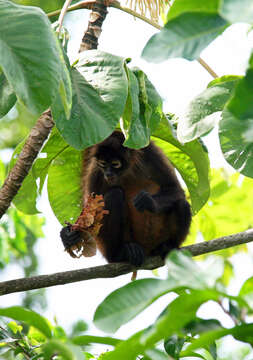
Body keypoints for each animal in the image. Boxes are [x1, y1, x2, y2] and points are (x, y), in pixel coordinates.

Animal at [60, 131, 191, 266]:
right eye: (103, 164)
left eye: (115, 164)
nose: (108, 174)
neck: (126, 171)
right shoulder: (96, 170)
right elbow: (91, 214)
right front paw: (68, 235)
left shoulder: (150, 152)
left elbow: (175, 189)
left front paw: (147, 201)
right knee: (115, 194)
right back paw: (119, 254)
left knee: (182, 204)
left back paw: (167, 247)